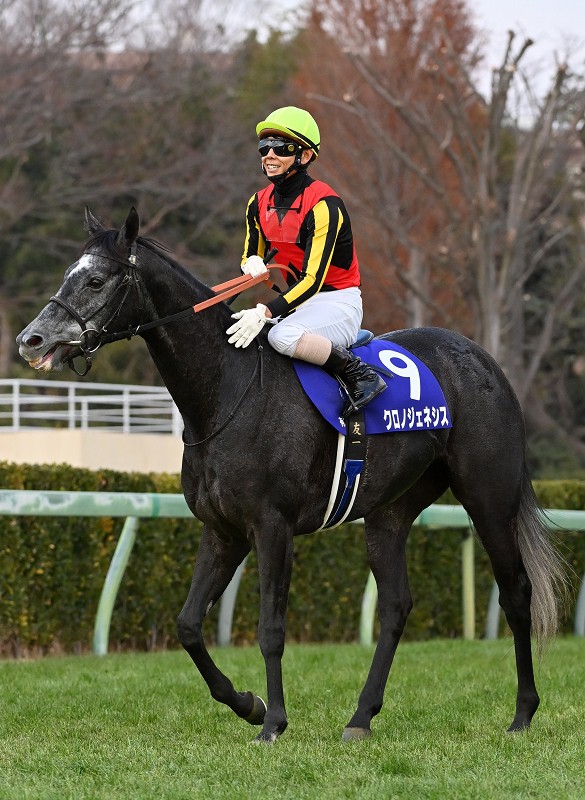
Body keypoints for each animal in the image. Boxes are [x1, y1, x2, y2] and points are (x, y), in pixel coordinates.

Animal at [16, 207, 566, 743]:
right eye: (68, 274)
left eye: (96, 280)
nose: (31, 339)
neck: (226, 392)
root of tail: (483, 360)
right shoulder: (223, 531)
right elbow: (188, 625)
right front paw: (248, 705)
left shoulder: (272, 527)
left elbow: (270, 629)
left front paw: (274, 720)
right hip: (389, 512)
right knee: (395, 606)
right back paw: (361, 717)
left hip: (488, 497)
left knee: (516, 592)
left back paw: (522, 714)